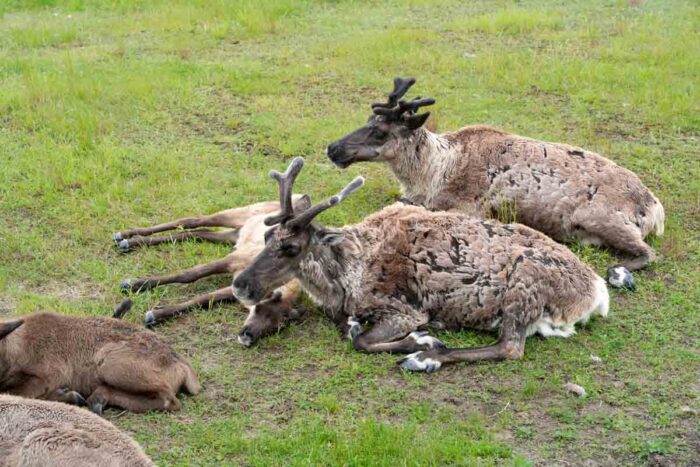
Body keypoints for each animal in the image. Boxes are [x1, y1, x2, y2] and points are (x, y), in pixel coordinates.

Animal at [0, 301, 200, 414]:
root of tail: (182, 365)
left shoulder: (49, 375)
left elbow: (17, 393)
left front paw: (67, 395)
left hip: (109, 365)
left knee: (169, 399)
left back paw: (98, 397)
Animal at [113, 196, 311, 346]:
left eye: (277, 326)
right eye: (261, 308)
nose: (248, 337)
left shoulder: (236, 283)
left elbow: (205, 299)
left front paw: (158, 314)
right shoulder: (234, 259)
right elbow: (190, 274)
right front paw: (134, 284)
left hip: (233, 234)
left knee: (195, 232)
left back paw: (132, 241)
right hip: (238, 214)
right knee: (192, 220)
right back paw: (125, 235)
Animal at [232, 158, 610, 373]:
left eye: (291, 247)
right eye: (267, 236)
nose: (240, 285)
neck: (344, 276)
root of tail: (596, 293)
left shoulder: (403, 310)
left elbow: (361, 341)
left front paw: (421, 341)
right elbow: (349, 327)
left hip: (523, 286)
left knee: (510, 347)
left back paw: (426, 358)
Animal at [326, 77, 665, 291]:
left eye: (380, 132)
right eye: (368, 122)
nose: (333, 148)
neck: (432, 170)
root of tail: (654, 208)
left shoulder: (467, 208)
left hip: (604, 219)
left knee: (648, 253)